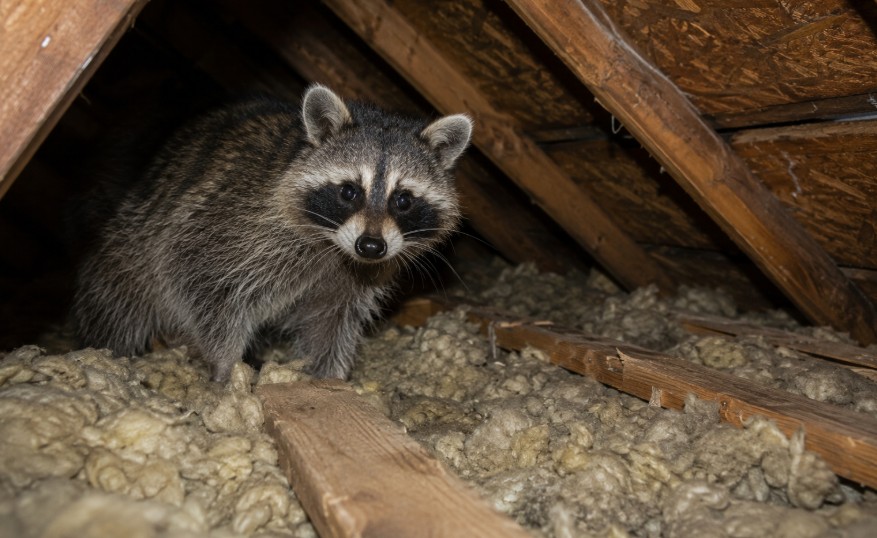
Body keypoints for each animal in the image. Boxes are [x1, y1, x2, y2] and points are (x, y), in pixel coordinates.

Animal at [72, 85, 472, 382]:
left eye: (403, 200)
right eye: (349, 192)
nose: (371, 246)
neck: (334, 245)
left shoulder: (354, 277)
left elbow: (332, 322)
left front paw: (328, 376)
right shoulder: (228, 223)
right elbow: (199, 278)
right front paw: (225, 363)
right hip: (131, 245)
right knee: (119, 303)